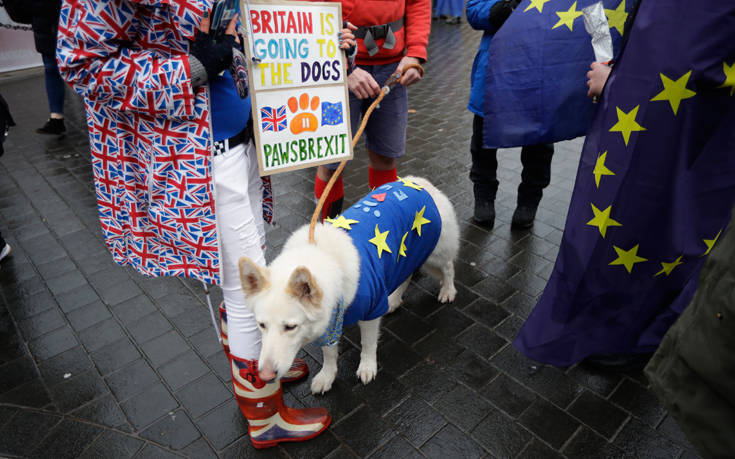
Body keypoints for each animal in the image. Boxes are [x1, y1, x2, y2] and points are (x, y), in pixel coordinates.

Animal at [240, 177, 460, 396]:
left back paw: (447, 290)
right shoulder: (329, 322)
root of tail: (418, 182)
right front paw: (327, 375)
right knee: (406, 277)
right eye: (261, 325)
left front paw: (367, 367)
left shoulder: (371, 311)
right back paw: (394, 300)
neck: (328, 260)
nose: (265, 376)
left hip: (435, 253)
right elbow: (329, 353)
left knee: (448, 267)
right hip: (404, 256)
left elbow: (368, 343)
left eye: (290, 327)